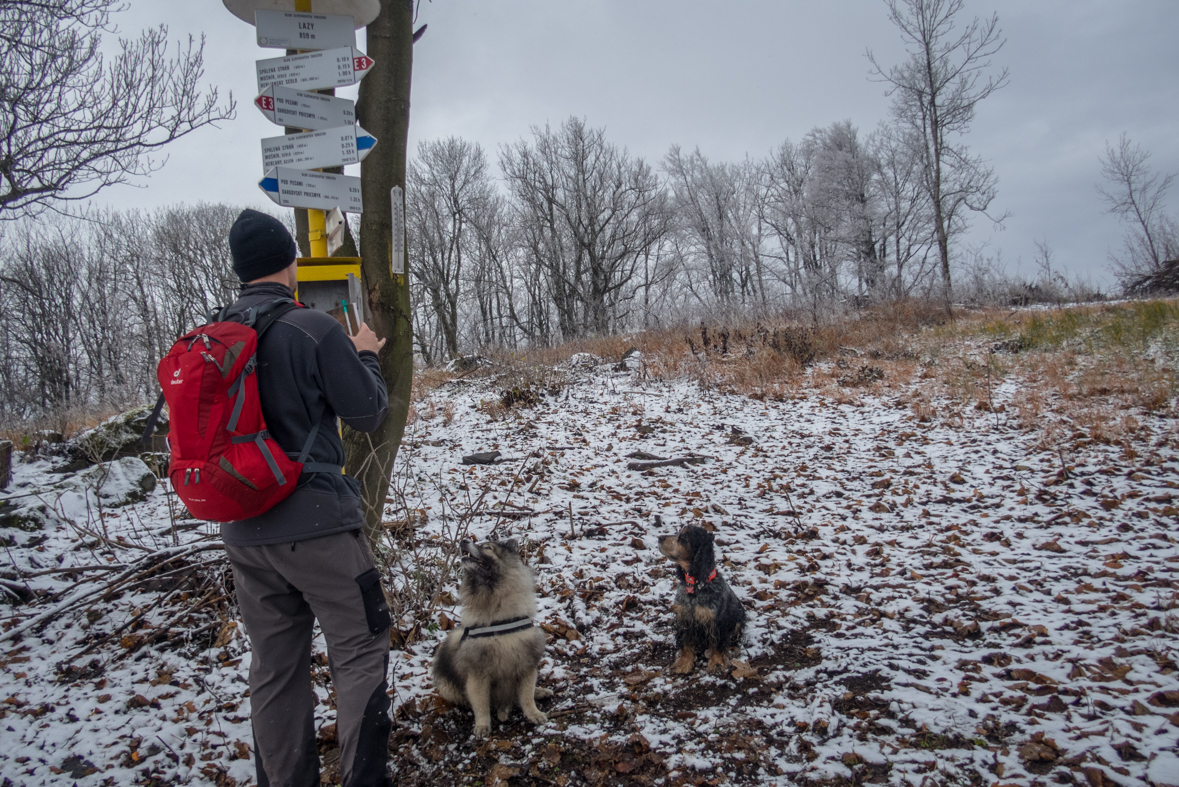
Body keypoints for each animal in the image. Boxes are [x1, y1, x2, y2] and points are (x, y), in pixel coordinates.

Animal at [431, 537, 549, 735]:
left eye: (487, 547)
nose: (463, 540)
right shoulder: (477, 673)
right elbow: (480, 704)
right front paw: (482, 726)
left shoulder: (526, 664)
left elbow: (526, 696)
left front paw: (534, 714)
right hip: (447, 684)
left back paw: (539, 692)